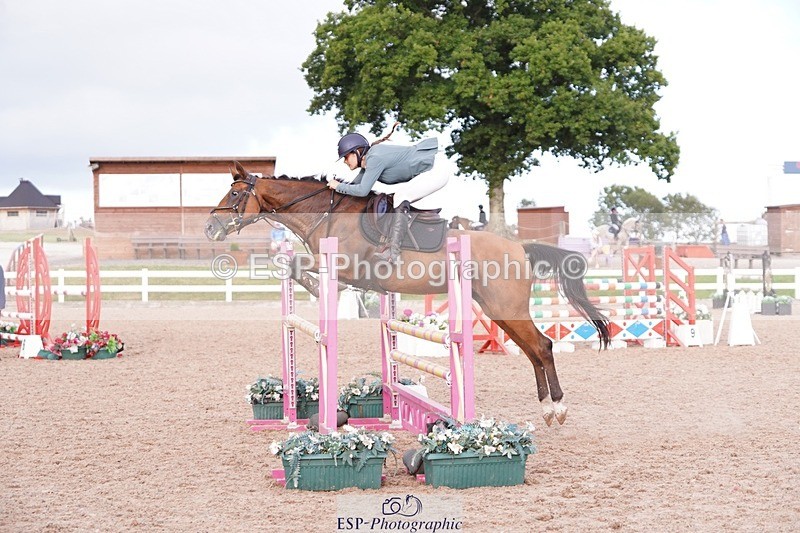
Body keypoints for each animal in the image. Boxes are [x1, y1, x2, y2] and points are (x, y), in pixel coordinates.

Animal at [204, 162, 610, 426]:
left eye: (235, 193)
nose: (210, 227)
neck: (328, 214)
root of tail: (519, 247)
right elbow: (291, 266)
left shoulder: (345, 265)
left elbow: (302, 268)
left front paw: (324, 292)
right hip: (498, 310)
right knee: (532, 350)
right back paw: (547, 409)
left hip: (506, 306)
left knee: (542, 346)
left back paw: (557, 409)